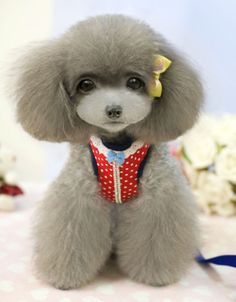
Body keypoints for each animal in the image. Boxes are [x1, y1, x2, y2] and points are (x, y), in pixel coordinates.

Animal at [11, 14, 203, 288]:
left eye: (134, 82)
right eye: (86, 85)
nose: (113, 110)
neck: (117, 146)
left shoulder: (159, 196)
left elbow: (156, 234)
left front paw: (155, 274)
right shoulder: (78, 193)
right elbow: (70, 232)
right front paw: (65, 276)